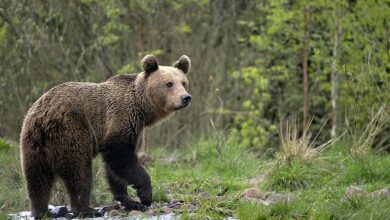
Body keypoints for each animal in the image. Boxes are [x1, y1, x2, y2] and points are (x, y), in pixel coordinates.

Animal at [19, 54, 193, 217]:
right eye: (169, 83)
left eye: (183, 82)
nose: (185, 98)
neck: (142, 108)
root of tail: (43, 117)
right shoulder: (122, 117)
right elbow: (120, 154)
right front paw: (145, 196)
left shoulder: (136, 128)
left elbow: (115, 168)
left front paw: (130, 201)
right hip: (71, 130)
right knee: (79, 171)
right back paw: (86, 209)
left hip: (32, 142)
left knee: (37, 178)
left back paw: (41, 211)